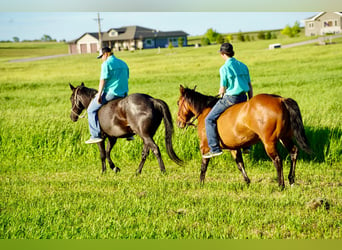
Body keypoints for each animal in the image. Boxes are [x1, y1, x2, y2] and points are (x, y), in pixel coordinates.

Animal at [178, 85, 312, 188]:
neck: (204, 111)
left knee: (277, 160)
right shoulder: (234, 148)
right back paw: (291, 180)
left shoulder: (205, 147)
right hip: (285, 137)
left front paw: (200, 183)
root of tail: (281, 100)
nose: (179, 123)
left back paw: (280, 185)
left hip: (269, 142)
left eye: (178, 102)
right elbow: (240, 164)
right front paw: (247, 182)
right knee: (293, 152)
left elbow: (203, 166)